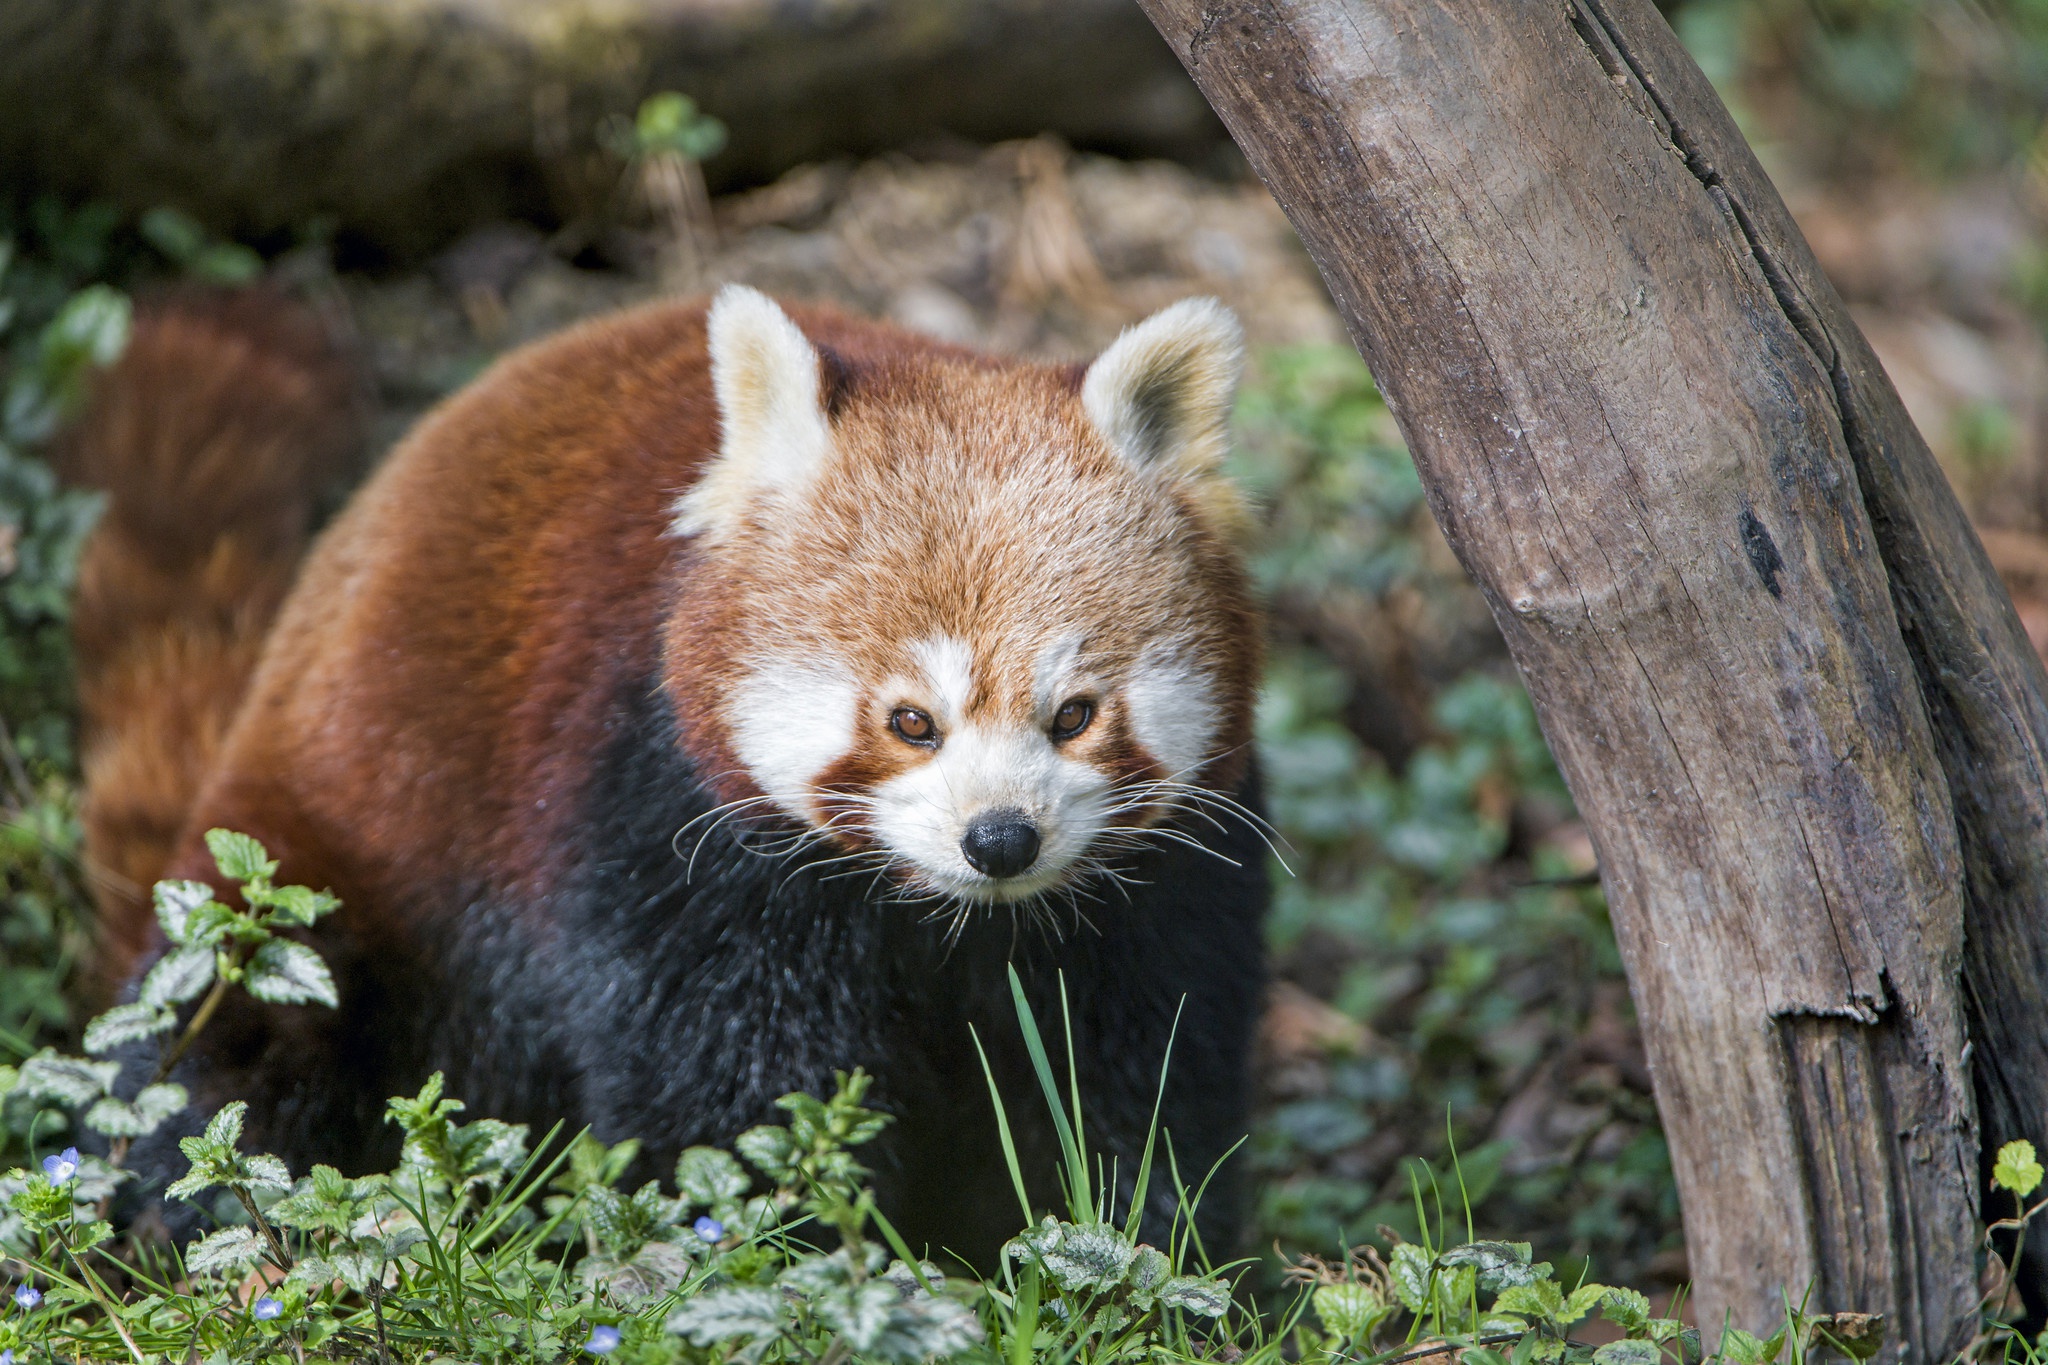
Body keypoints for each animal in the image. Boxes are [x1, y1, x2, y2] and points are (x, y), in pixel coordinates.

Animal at [72, 282, 1269, 1268]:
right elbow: (728, 1098)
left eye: (1073, 716)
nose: (1001, 839)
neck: (951, 923)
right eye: (910, 721)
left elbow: (1138, 1086)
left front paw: (1137, 1259)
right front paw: (781, 1256)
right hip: (318, 877)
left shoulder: (1161, 895)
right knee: (222, 1052)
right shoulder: (668, 821)